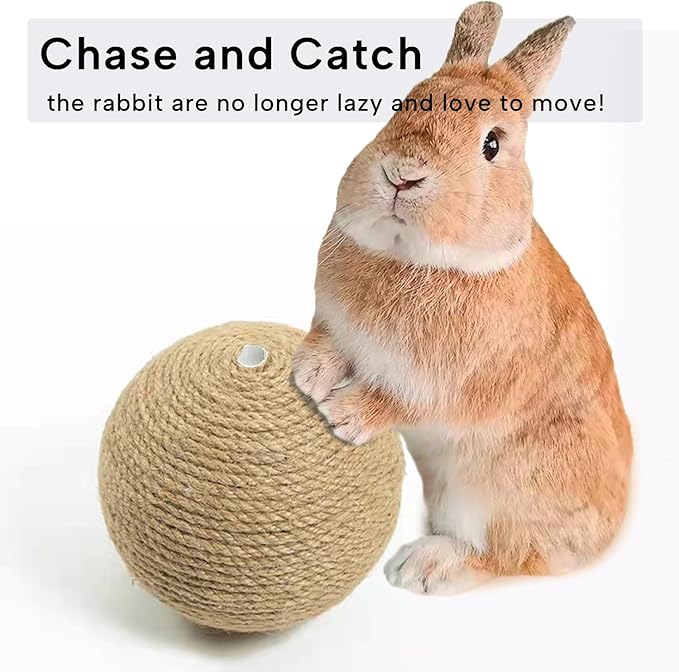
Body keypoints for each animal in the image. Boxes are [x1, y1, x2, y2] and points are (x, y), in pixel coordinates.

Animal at [291, 1, 632, 594]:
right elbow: (327, 346)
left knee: (509, 557)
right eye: (407, 102)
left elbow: (400, 400)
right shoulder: (334, 325)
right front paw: (308, 377)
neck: (412, 258)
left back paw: (421, 567)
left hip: (494, 493)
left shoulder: (448, 384)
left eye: (492, 144)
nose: (403, 175)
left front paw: (343, 415)